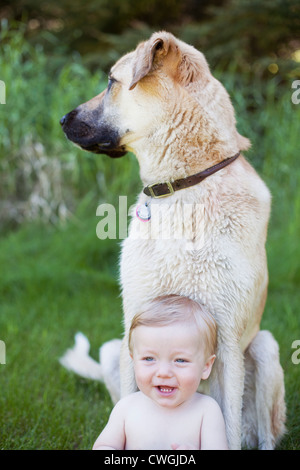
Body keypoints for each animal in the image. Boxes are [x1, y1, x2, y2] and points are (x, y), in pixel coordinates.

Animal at [59, 31, 286, 450]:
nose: (62, 120)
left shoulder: (228, 343)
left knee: (263, 435)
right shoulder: (133, 330)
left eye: (111, 82)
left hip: (264, 348)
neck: (184, 187)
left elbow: (226, 426)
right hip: (113, 348)